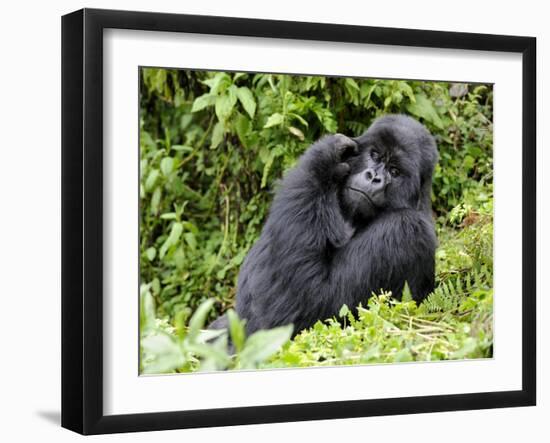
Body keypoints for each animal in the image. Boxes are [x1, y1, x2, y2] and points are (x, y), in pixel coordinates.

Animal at [211, 113, 440, 336]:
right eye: (375, 155)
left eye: (395, 171)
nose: (374, 176)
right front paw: (331, 156)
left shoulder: (405, 228)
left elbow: (316, 303)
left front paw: (322, 158)